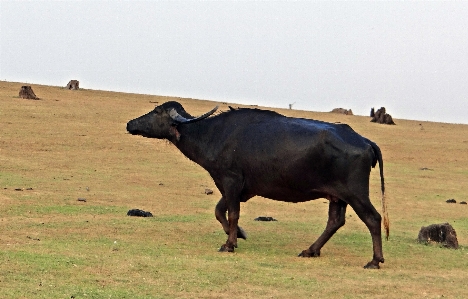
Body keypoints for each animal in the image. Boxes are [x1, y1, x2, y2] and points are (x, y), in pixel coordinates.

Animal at [126, 102, 390, 270]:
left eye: (157, 111)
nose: (130, 124)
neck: (211, 134)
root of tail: (364, 141)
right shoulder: (239, 188)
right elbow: (219, 211)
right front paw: (239, 235)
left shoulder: (230, 181)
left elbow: (232, 214)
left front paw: (229, 244)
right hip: (337, 197)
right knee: (335, 221)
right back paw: (310, 250)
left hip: (355, 193)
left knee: (373, 218)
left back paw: (375, 260)